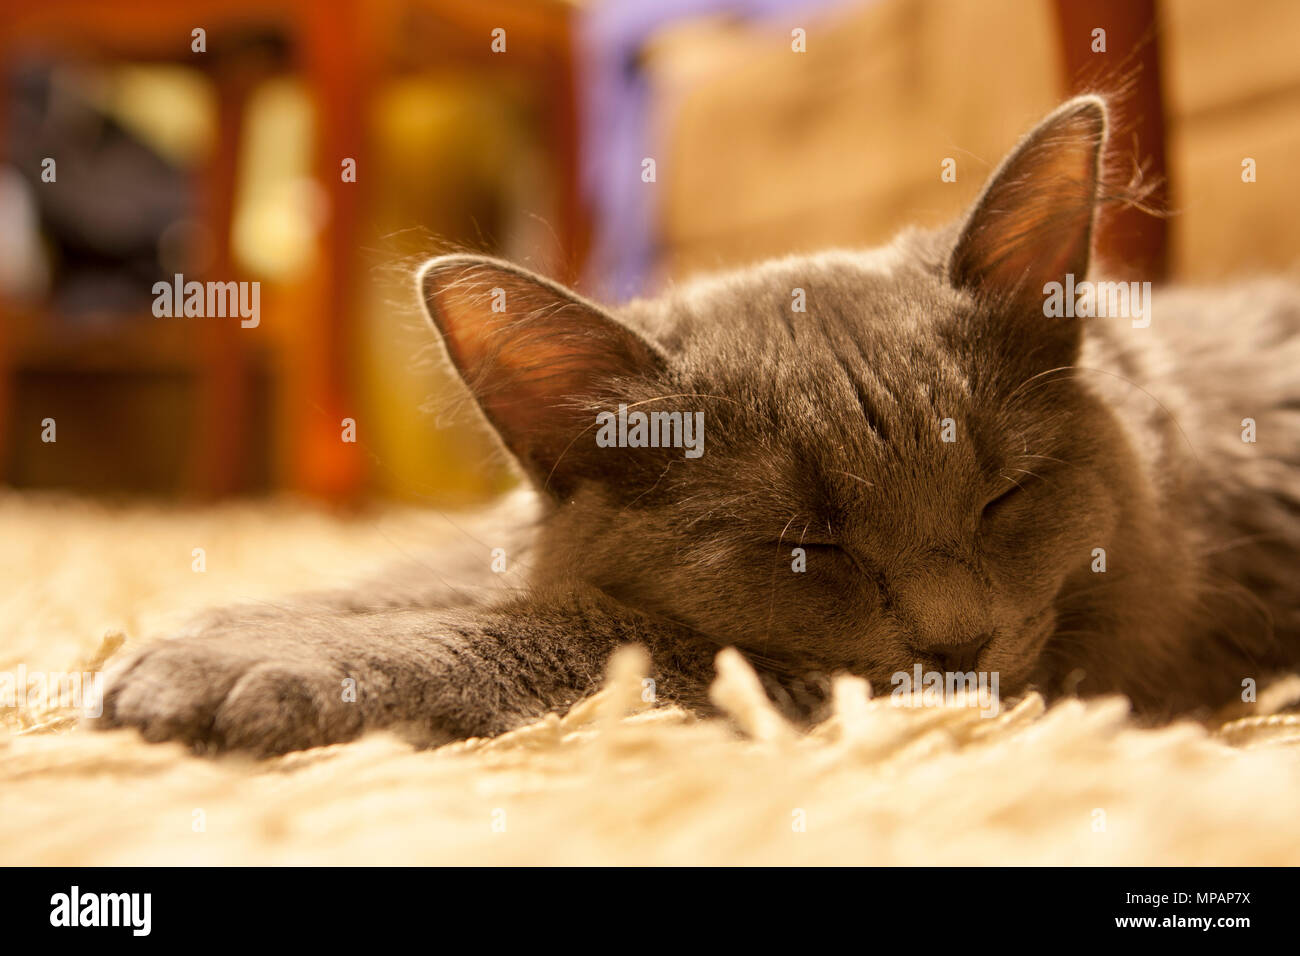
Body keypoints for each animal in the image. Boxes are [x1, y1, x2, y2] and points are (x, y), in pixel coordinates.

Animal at [98, 97, 1300, 754]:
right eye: (806, 544)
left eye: (1006, 495)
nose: (957, 641)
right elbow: (436, 565)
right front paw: (197, 628)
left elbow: (575, 629)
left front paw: (234, 666)